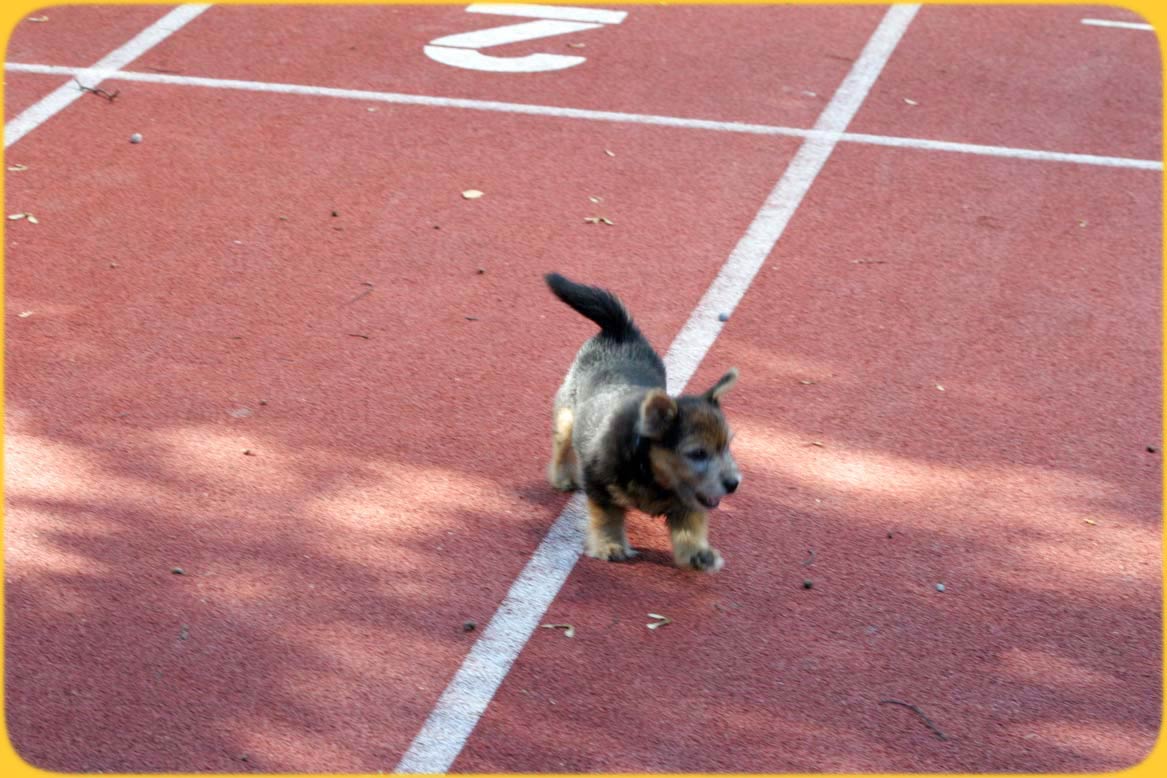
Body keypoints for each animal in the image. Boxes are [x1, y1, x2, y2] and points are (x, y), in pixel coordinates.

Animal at [543, 274, 737, 571]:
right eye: (697, 454)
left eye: (727, 447)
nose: (733, 483)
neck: (650, 471)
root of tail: (620, 330)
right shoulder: (599, 485)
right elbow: (607, 516)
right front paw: (610, 544)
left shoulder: (688, 500)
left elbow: (691, 525)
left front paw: (697, 552)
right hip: (567, 413)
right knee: (562, 443)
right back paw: (563, 475)